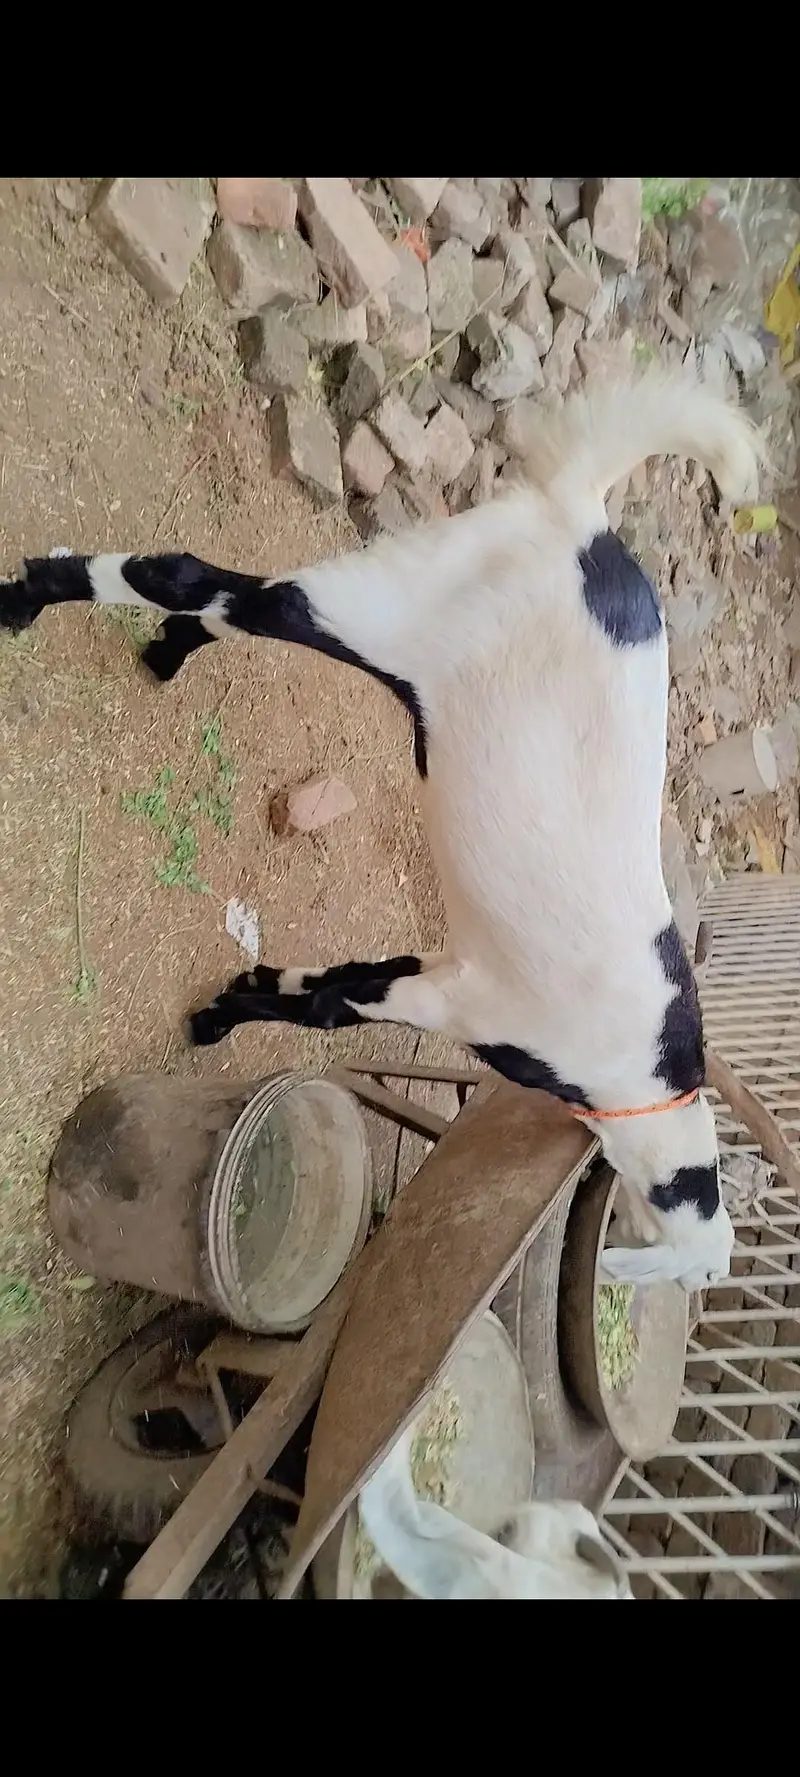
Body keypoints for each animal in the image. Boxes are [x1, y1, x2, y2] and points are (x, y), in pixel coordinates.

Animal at [0, 366, 762, 1291]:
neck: (638, 1077)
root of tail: (584, 519)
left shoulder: (436, 965)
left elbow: (331, 981)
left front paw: (239, 990)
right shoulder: (459, 1002)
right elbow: (332, 1007)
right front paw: (218, 1018)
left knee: (218, 601)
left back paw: (160, 653)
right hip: (381, 602)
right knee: (193, 577)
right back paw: (21, 601)